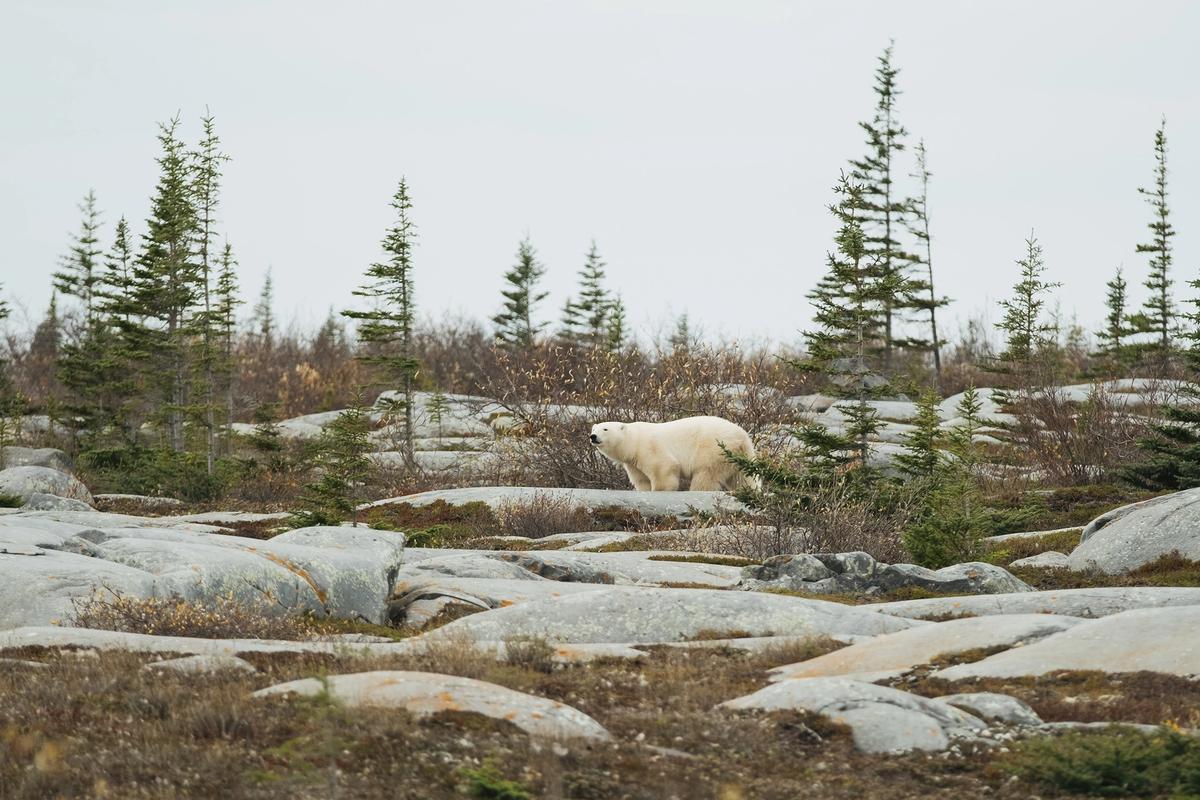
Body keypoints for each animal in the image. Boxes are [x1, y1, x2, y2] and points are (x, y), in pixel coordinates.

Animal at [589, 415, 755, 492]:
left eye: (605, 429)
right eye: (594, 429)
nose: (593, 436)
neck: (633, 441)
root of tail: (742, 436)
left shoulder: (649, 447)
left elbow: (663, 467)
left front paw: (659, 489)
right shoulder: (632, 463)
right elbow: (641, 479)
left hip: (713, 448)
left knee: (706, 474)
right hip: (741, 455)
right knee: (742, 478)